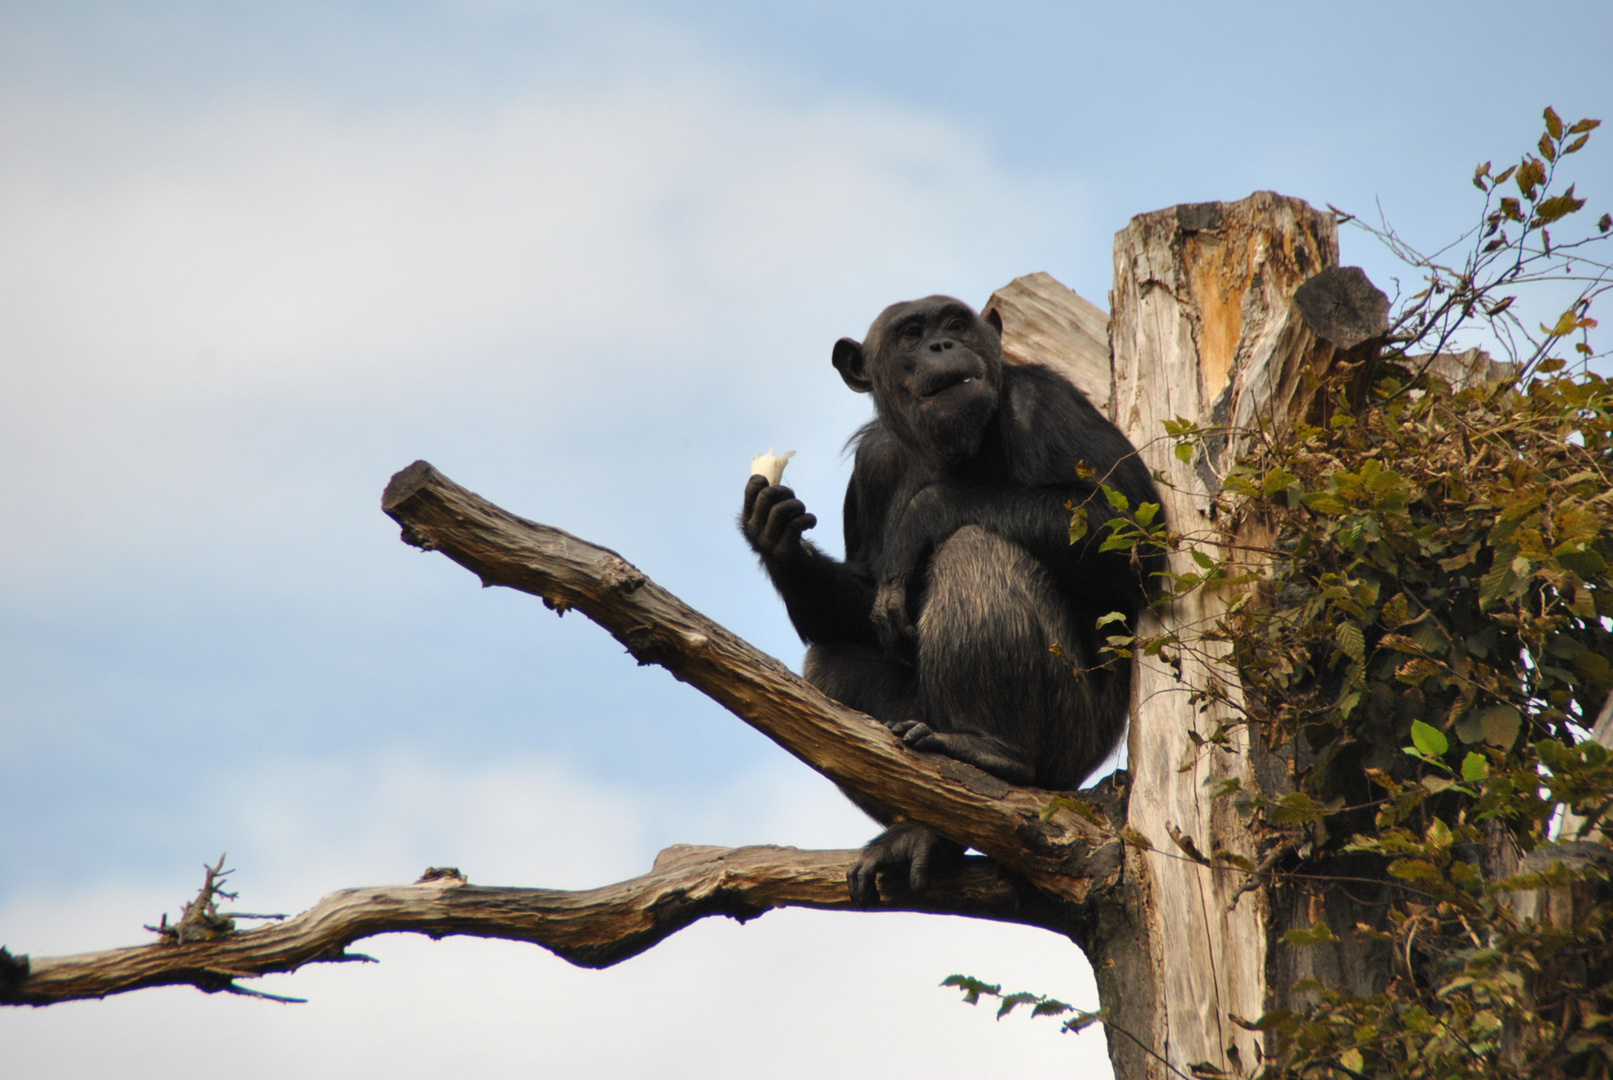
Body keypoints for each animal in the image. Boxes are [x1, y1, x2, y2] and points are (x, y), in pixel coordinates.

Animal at [741, 293, 1161, 902]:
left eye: (956, 323)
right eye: (911, 334)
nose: (942, 345)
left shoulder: (1046, 403)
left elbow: (1131, 529)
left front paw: (924, 511)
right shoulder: (871, 468)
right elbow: (863, 602)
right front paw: (776, 539)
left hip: (1078, 738)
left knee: (974, 547)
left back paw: (989, 751)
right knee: (831, 658)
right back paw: (924, 832)